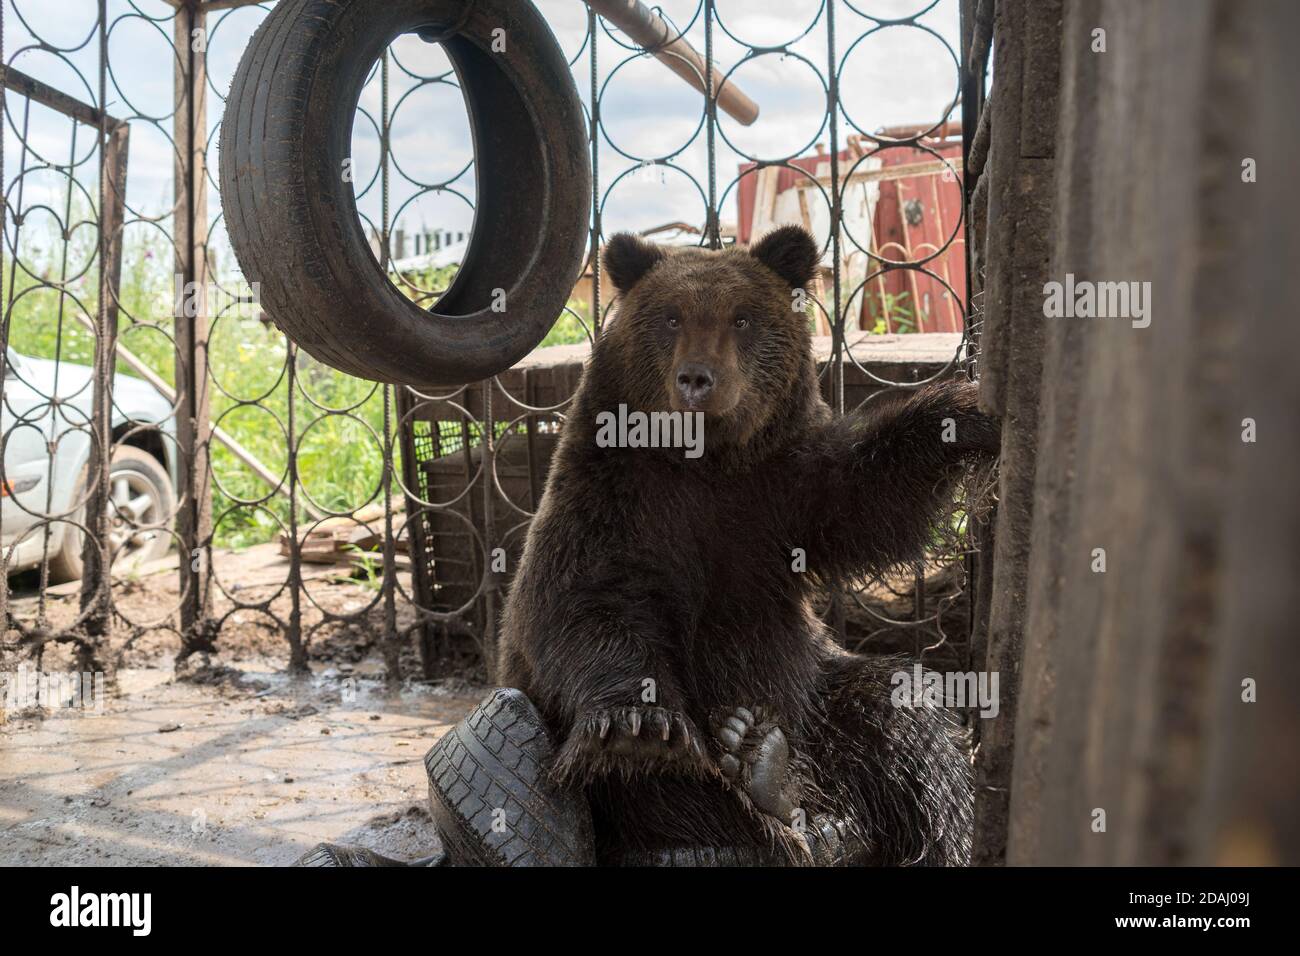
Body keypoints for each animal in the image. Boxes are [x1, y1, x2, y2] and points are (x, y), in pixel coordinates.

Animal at [493, 226, 993, 868]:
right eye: (672, 317)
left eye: (742, 318)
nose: (697, 378)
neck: (706, 462)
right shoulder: (610, 497)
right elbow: (586, 605)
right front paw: (637, 727)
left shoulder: (781, 493)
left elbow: (870, 498)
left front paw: (964, 412)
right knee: (676, 794)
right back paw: (772, 784)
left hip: (816, 691)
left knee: (901, 713)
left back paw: (796, 784)